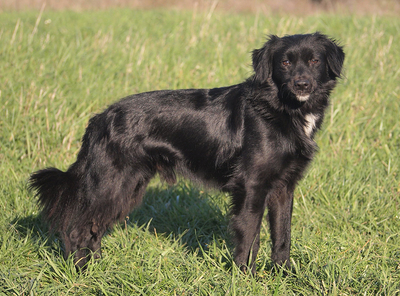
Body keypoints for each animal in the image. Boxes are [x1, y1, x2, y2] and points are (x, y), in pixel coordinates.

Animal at [29, 32, 346, 272]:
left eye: (314, 60)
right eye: (285, 62)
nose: (302, 84)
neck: (280, 109)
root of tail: (100, 118)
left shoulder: (283, 187)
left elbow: (282, 236)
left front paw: (284, 276)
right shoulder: (252, 186)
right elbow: (249, 237)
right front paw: (245, 278)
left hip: (126, 188)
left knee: (94, 230)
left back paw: (98, 267)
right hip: (111, 184)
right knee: (76, 230)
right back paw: (80, 271)